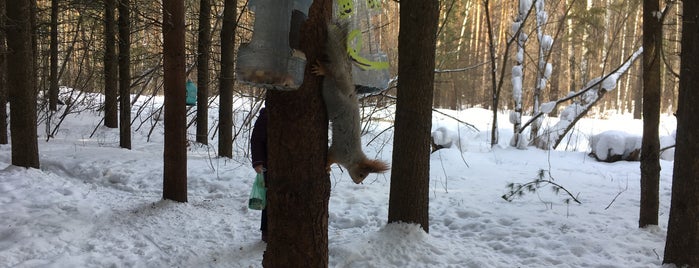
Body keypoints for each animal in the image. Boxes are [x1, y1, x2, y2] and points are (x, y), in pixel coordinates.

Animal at [314, 23, 392, 183]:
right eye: (362, 174)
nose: (358, 183)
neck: (353, 159)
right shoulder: (340, 152)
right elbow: (330, 157)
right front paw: (327, 167)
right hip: (334, 91)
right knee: (332, 74)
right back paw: (323, 70)